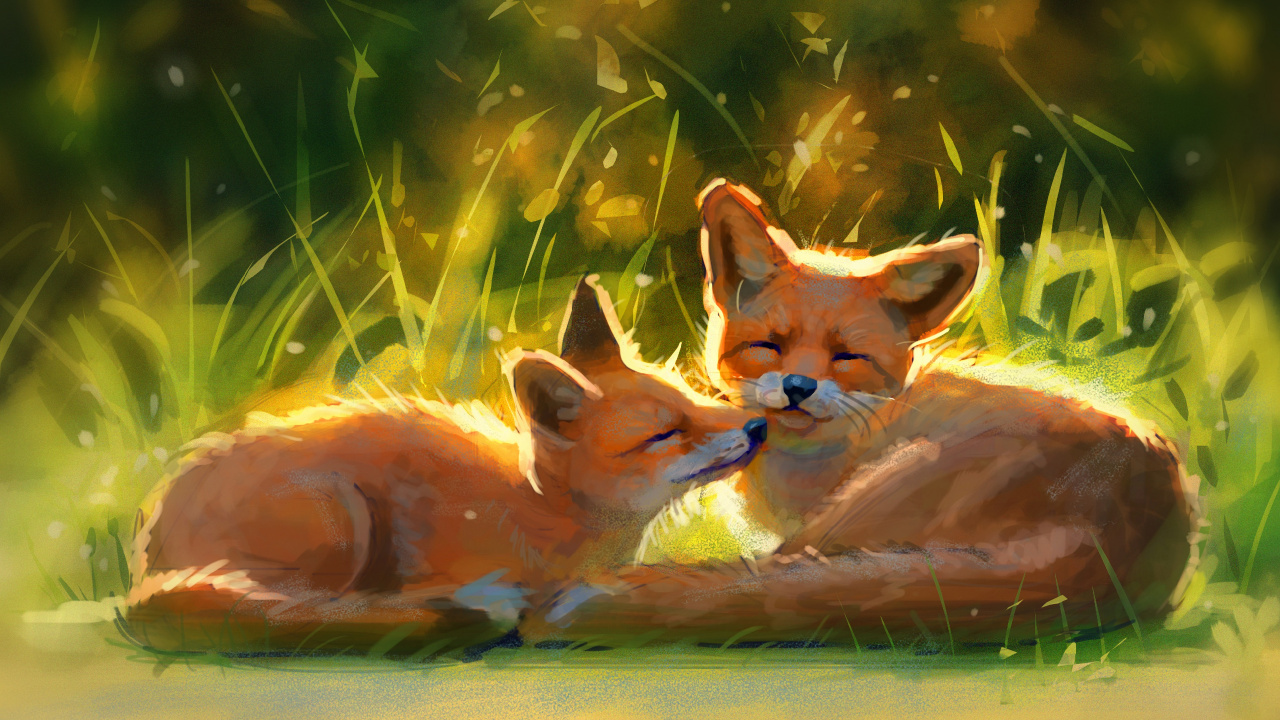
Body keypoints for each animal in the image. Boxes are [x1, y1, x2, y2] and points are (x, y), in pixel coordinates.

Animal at [124, 276, 767, 654]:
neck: (542, 514)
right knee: (306, 612)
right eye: (665, 433)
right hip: (343, 517)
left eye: (696, 401)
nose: (758, 426)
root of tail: (145, 557)